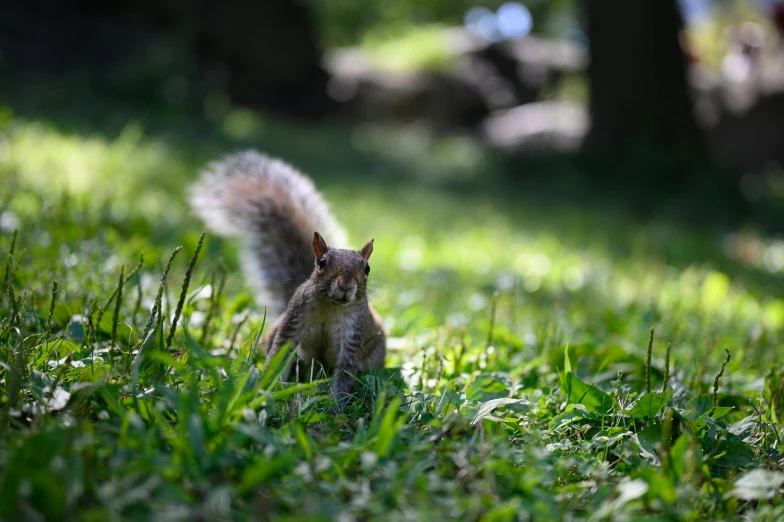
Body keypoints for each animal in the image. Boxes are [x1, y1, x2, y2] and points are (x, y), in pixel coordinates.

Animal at [190, 149, 386, 398]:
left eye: (367, 268)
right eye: (322, 263)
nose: (345, 285)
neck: (331, 307)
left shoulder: (353, 335)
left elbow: (344, 373)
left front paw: (335, 404)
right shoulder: (294, 319)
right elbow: (279, 355)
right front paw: (267, 388)